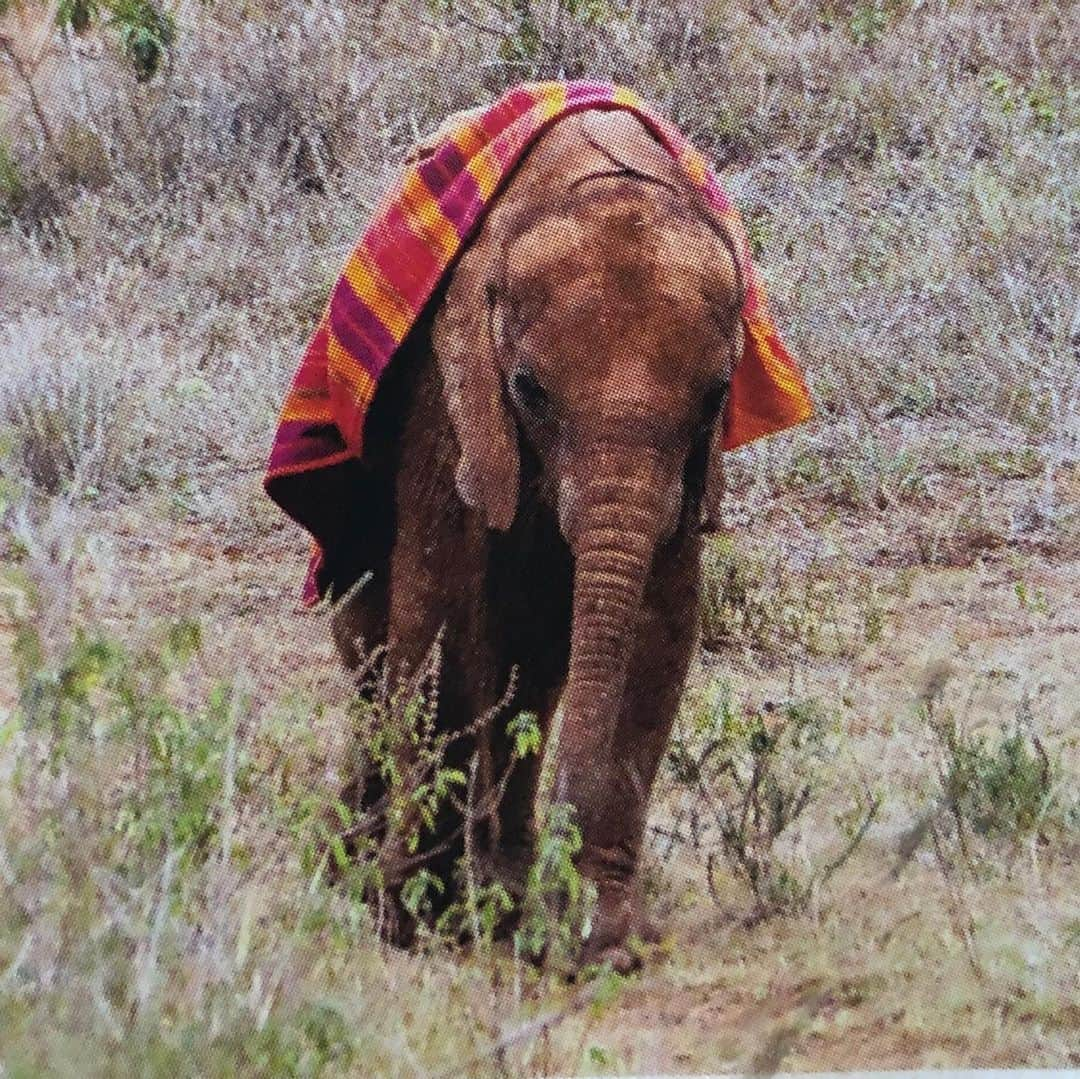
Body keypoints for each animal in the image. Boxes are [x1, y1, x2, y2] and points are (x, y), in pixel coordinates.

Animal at [324, 111, 751, 980]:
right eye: (527, 389)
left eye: (716, 398)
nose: (561, 933)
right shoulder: (447, 393)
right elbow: (441, 608)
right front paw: (420, 919)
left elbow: (660, 627)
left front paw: (604, 938)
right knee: (375, 641)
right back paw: (360, 865)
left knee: (536, 675)